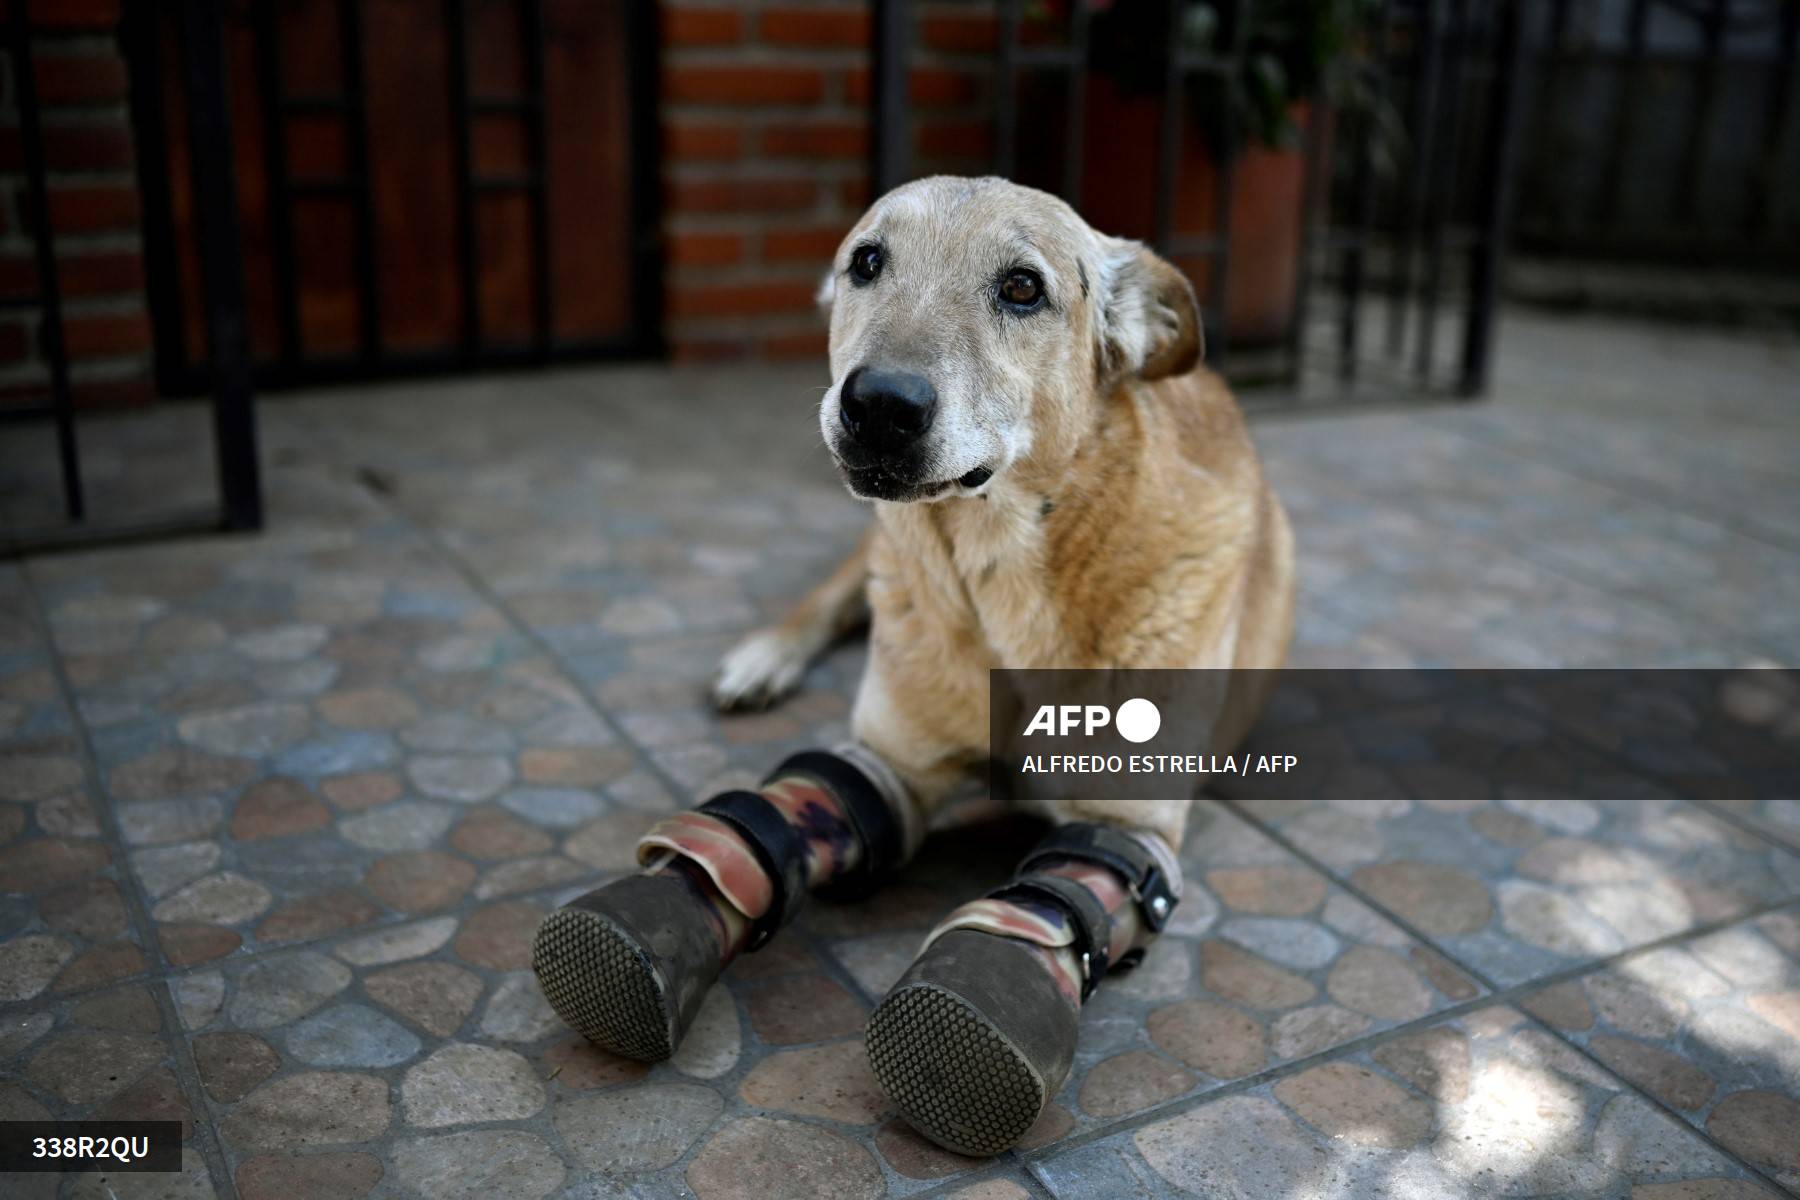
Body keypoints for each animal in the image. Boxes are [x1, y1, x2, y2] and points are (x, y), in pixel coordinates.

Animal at [705, 176, 1296, 852]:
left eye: (1021, 287)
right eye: (866, 261)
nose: (878, 405)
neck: (995, 572)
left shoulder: (1124, 824)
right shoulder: (890, 765)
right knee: (833, 596)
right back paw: (761, 659)